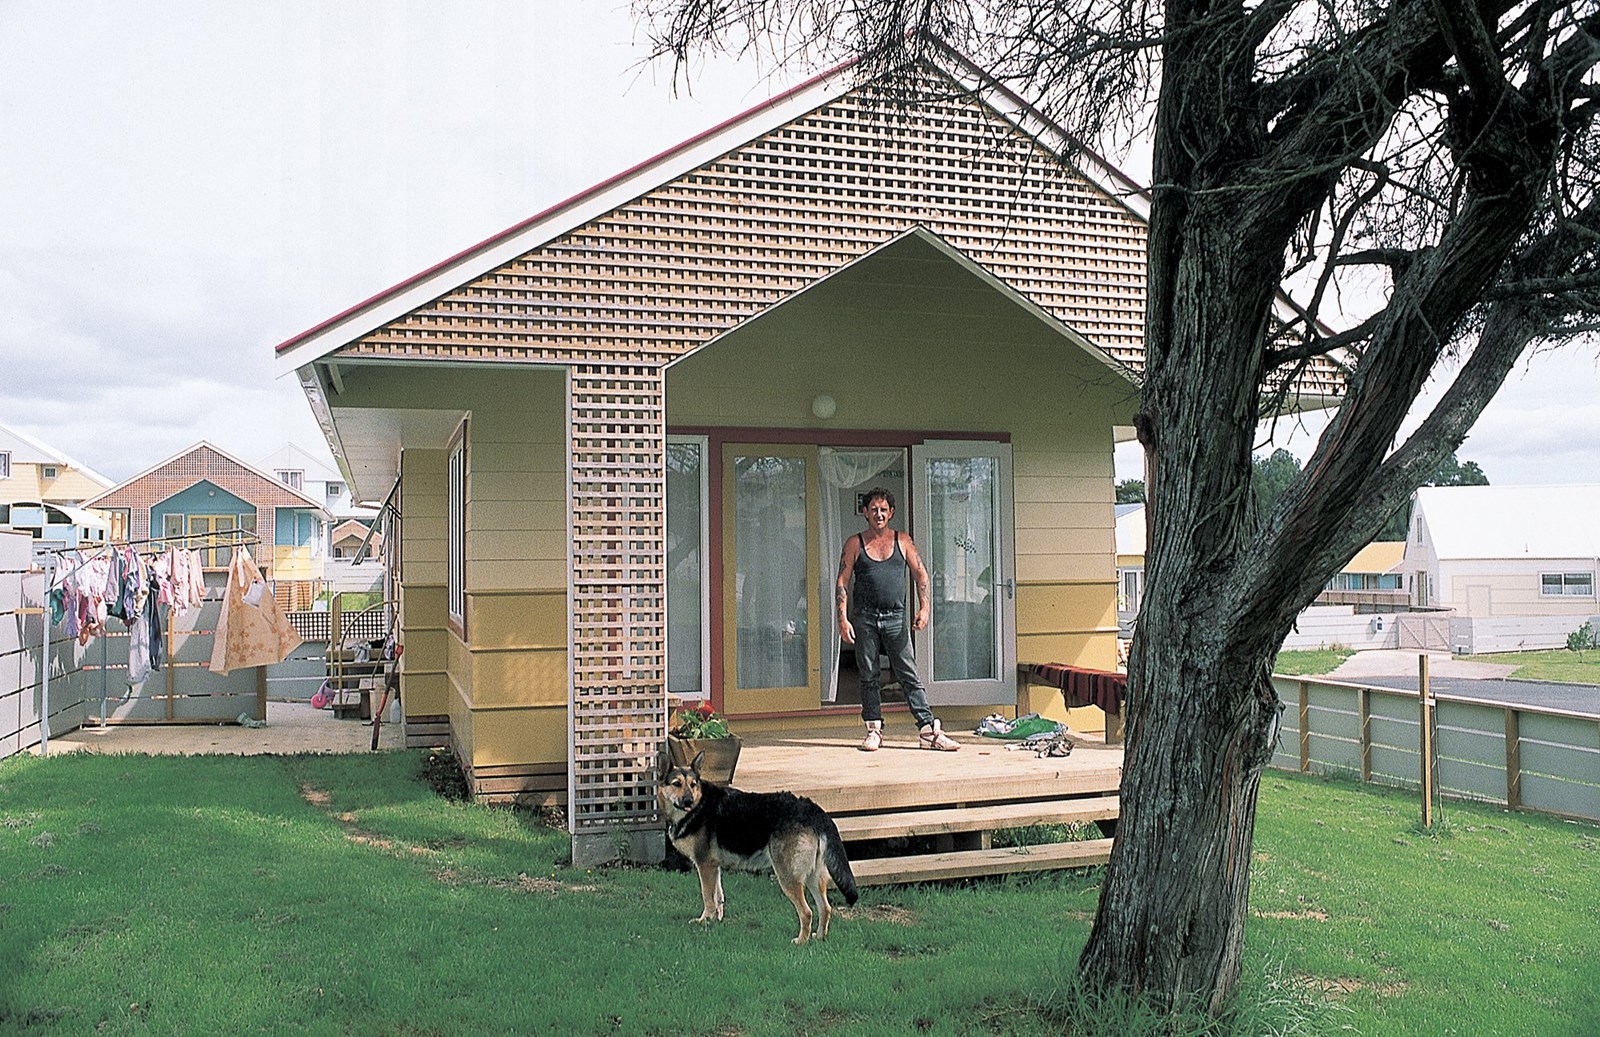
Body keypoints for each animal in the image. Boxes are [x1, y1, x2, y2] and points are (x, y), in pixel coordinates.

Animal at [657, 750, 858, 944]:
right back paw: (819, 938)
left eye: (693, 784)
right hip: (812, 876)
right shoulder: (714, 867)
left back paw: (801, 941)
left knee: (807, 912)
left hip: (788, 876)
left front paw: (704, 920)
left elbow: (707, 897)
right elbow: (718, 897)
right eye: (677, 784)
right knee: (825, 908)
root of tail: (813, 809)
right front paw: (716, 920)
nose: (689, 801)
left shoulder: (705, 866)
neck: (700, 804)